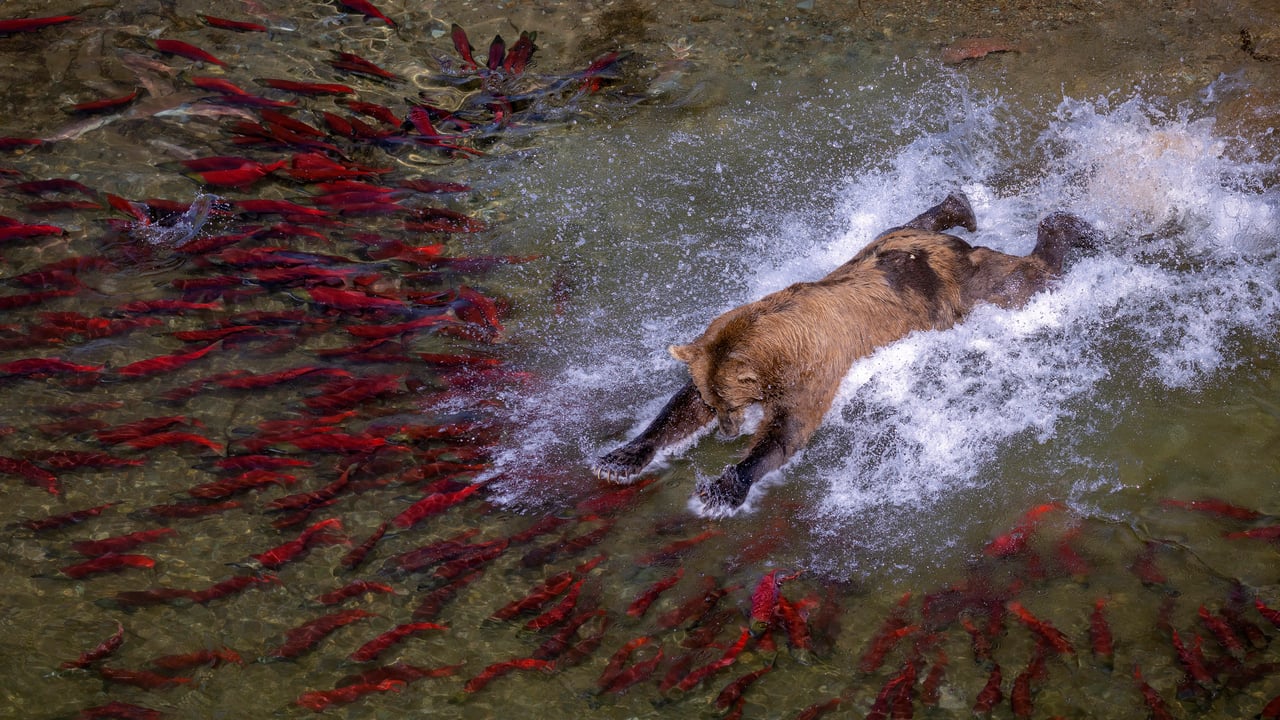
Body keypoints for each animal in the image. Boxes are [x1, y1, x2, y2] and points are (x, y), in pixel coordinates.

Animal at [591, 193, 1099, 511]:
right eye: (716, 403)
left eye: (730, 405)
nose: (727, 432)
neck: (777, 340)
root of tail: (948, 248)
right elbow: (680, 410)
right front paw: (620, 458)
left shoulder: (813, 369)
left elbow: (787, 431)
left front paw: (723, 488)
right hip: (887, 244)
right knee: (910, 221)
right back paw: (961, 206)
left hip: (969, 289)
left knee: (1023, 278)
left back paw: (1074, 228)